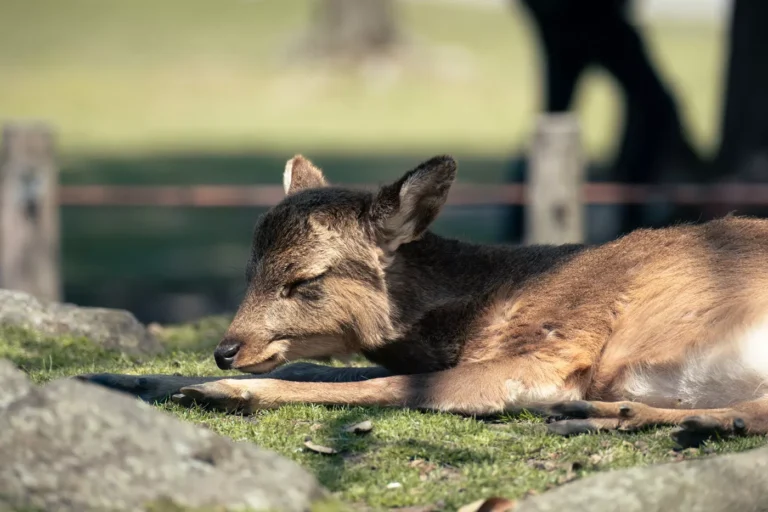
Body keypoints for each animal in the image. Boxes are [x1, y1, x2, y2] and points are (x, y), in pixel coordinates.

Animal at [81, 154, 768, 447]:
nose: (226, 350)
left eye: (304, 280)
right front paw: (117, 378)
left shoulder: (554, 351)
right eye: (249, 270)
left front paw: (219, 392)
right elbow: (335, 371)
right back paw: (611, 415)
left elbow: (381, 387)